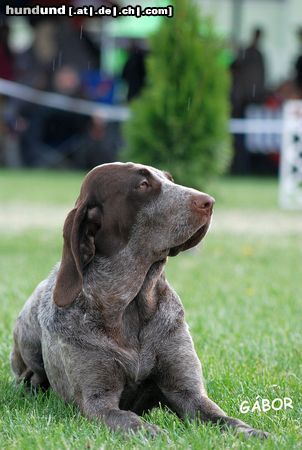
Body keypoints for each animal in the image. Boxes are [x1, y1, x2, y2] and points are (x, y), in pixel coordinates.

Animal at [10, 163, 268, 438]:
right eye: (142, 185)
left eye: (169, 179)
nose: (209, 201)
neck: (129, 305)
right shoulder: (98, 402)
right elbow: (133, 422)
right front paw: (156, 434)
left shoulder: (189, 393)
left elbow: (225, 419)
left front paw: (253, 433)